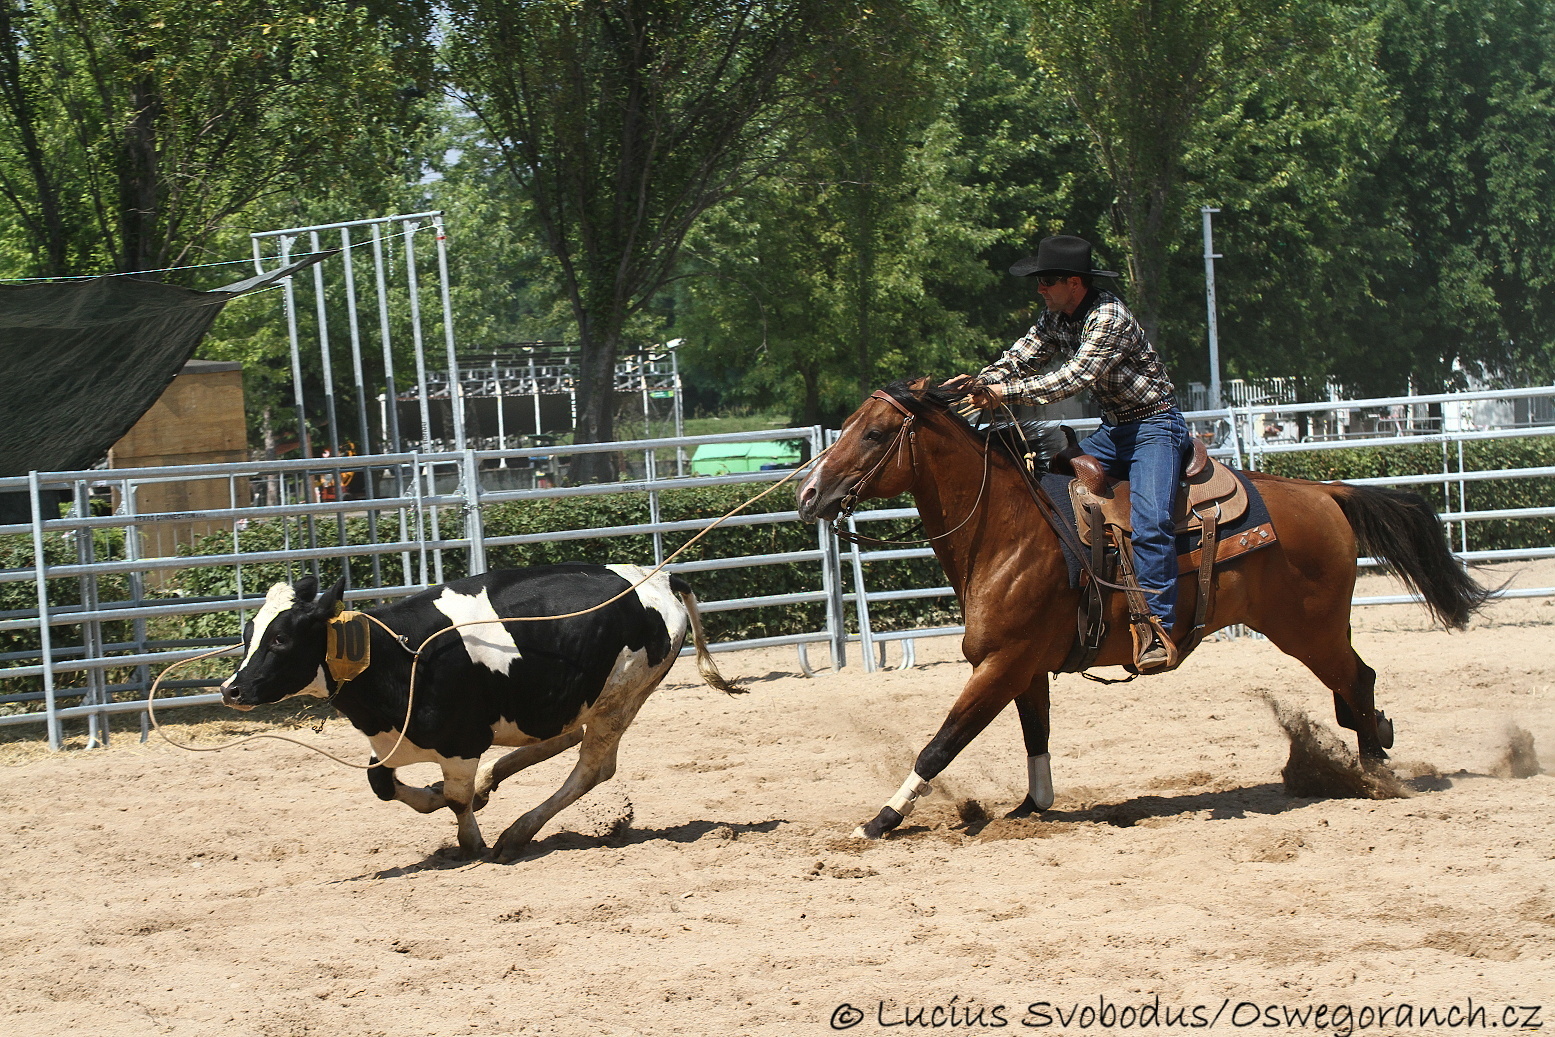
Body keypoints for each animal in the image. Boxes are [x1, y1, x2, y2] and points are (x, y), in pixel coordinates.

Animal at [217, 562, 740, 864]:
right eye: (248, 634)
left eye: (280, 638)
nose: (231, 688)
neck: (398, 656)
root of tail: (664, 579)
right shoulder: (392, 742)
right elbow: (381, 782)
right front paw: (435, 797)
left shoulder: (460, 743)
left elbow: (455, 799)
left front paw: (469, 844)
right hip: (569, 699)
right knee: (564, 739)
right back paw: (494, 785)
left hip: (622, 695)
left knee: (592, 768)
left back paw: (517, 833)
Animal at [796, 377, 1486, 839]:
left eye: (875, 434)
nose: (807, 494)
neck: (1008, 529)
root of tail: (1323, 491)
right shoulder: (1025, 668)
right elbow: (1035, 736)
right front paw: (1032, 807)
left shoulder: (1001, 662)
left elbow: (941, 743)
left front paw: (880, 820)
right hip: (1312, 628)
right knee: (1354, 687)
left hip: (1309, 629)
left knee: (1358, 681)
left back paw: (1374, 773)